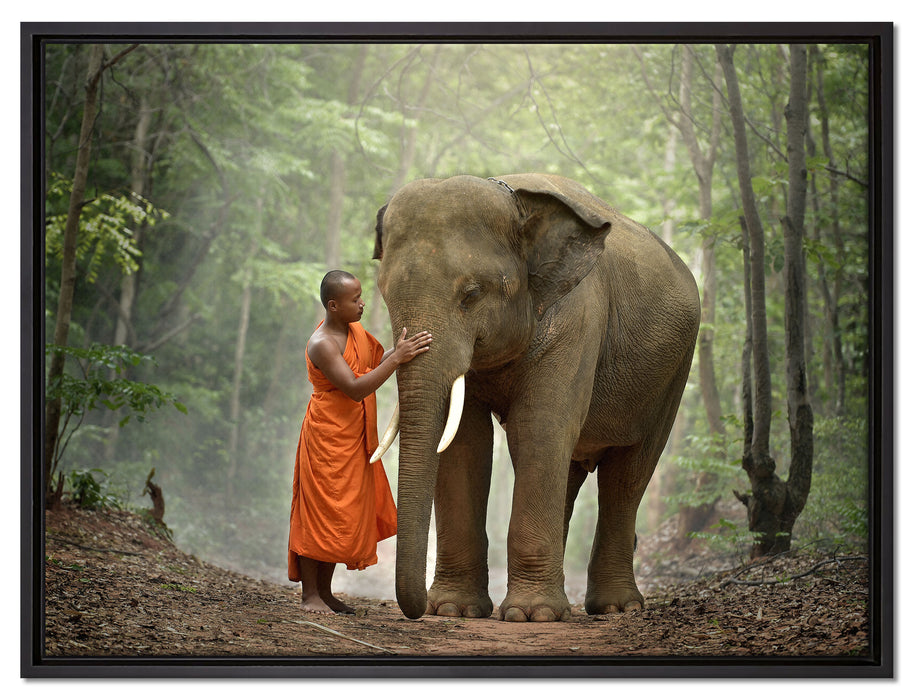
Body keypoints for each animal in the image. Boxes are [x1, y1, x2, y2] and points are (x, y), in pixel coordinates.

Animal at [370, 173, 700, 622]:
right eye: (385, 294)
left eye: (470, 295)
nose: (418, 609)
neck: (515, 200)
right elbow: (466, 442)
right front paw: (456, 610)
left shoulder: (578, 317)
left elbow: (539, 428)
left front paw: (532, 615)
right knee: (572, 471)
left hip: (673, 374)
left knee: (629, 473)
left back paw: (614, 607)